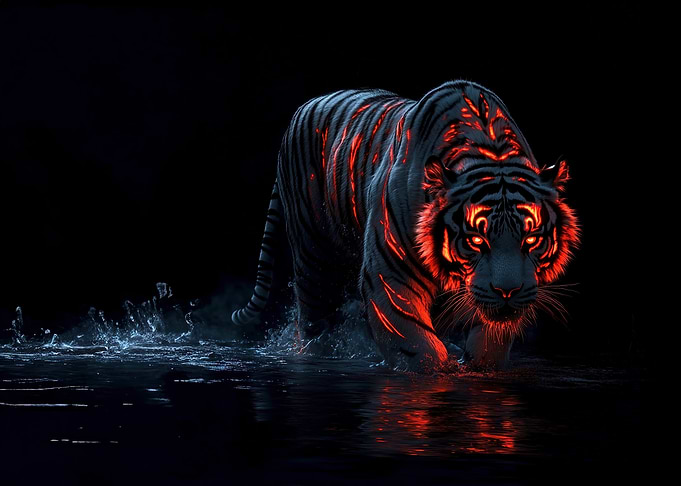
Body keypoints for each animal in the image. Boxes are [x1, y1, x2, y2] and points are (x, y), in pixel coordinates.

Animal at [231, 80, 580, 372]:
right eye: (477, 240)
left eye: (531, 239)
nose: (507, 291)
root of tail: (302, 109)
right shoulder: (390, 274)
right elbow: (414, 343)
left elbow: (490, 340)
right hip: (313, 256)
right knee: (315, 321)